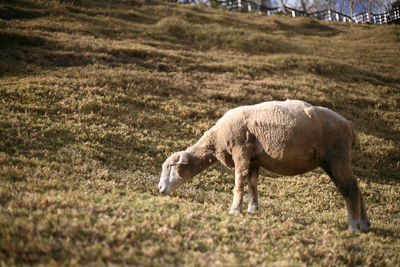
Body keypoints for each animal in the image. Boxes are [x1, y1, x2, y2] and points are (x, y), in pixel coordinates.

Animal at [158, 99, 370, 231]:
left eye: (170, 166)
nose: (159, 188)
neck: (217, 139)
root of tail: (350, 127)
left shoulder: (241, 151)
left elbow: (239, 183)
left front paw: (234, 210)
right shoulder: (253, 159)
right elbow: (252, 183)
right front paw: (252, 208)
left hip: (337, 155)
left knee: (350, 188)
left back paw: (353, 226)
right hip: (332, 160)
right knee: (355, 186)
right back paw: (365, 224)